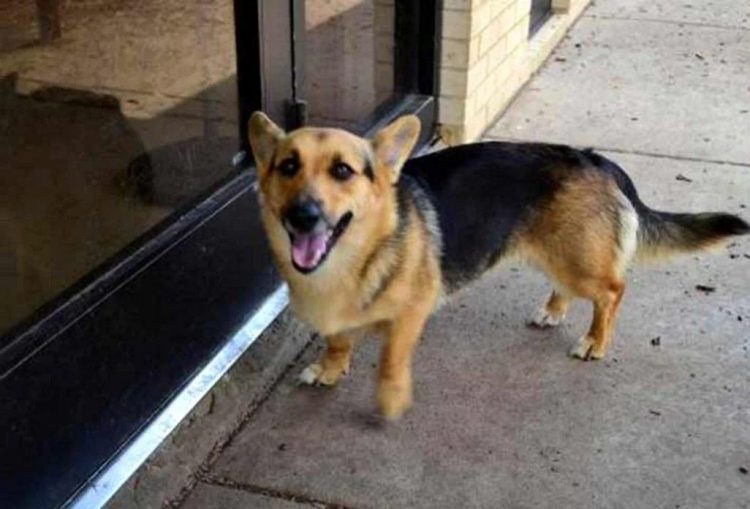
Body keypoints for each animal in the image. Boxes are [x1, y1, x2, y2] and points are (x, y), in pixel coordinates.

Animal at [248, 111, 750, 416]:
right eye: (288, 166)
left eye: (343, 171)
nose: (303, 216)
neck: (351, 257)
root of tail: (595, 159)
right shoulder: (335, 321)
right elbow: (336, 342)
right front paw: (331, 369)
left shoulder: (413, 312)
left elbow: (391, 359)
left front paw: (389, 398)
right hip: (554, 253)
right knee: (571, 289)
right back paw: (552, 312)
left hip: (576, 262)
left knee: (612, 291)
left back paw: (595, 341)